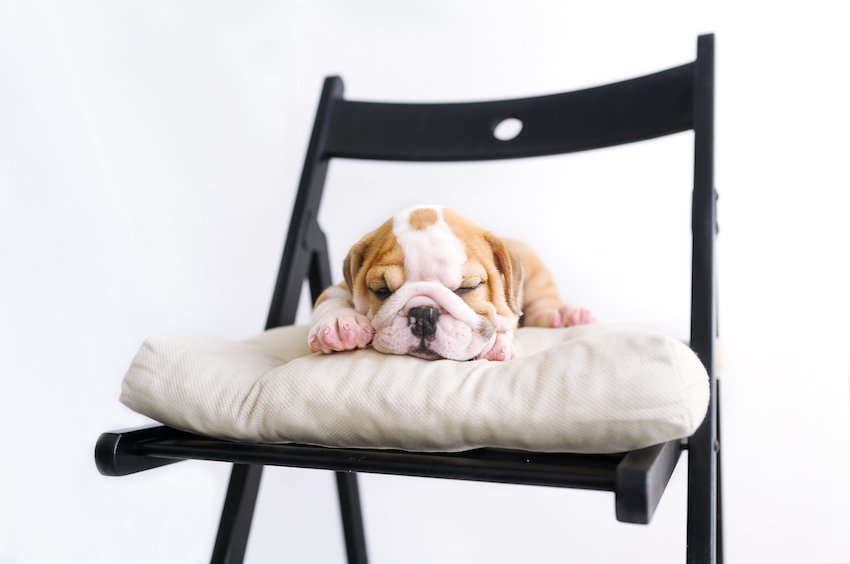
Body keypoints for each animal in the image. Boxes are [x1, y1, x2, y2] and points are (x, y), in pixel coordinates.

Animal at [308, 206, 592, 362]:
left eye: (467, 287)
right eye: (382, 290)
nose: (423, 314)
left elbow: (507, 318)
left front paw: (496, 344)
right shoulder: (341, 286)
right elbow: (330, 299)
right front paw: (340, 325)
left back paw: (563, 314)